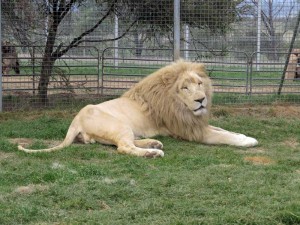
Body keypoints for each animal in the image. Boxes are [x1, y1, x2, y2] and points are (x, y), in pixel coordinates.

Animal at [18, 60, 258, 157]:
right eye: (185, 87)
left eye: (199, 83)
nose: (201, 100)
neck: (180, 106)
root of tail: (75, 120)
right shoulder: (188, 129)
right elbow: (221, 136)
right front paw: (247, 141)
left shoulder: (195, 123)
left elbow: (223, 130)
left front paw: (243, 135)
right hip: (119, 124)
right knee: (124, 147)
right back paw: (153, 152)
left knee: (125, 143)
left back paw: (153, 143)